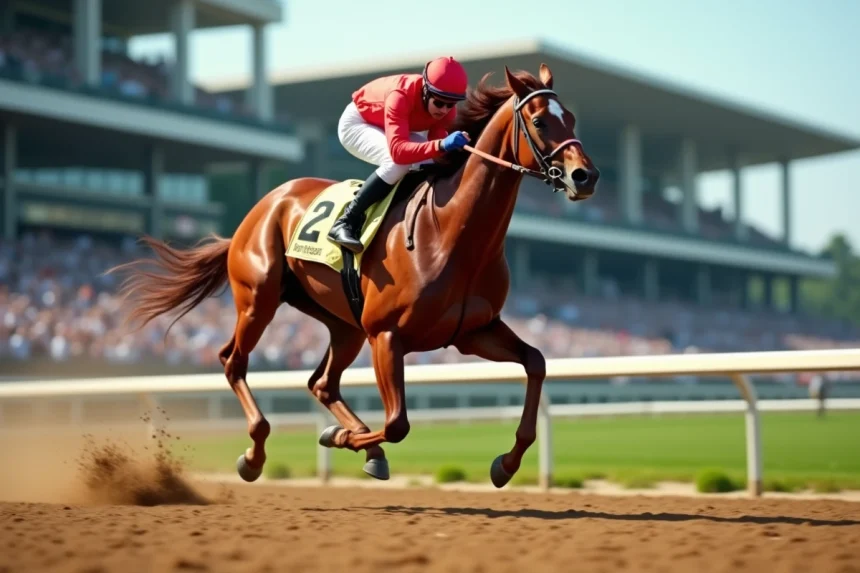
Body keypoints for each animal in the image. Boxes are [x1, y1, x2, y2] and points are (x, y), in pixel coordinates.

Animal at [111, 63, 599, 488]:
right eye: (540, 121)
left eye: (572, 118)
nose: (585, 176)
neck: (452, 233)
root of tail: (262, 206)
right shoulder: (387, 334)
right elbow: (398, 423)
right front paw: (340, 437)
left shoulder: (473, 331)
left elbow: (536, 362)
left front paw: (506, 464)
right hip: (259, 299)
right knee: (234, 362)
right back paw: (256, 455)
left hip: (345, 324)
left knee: (322, 383)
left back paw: (362, 447)